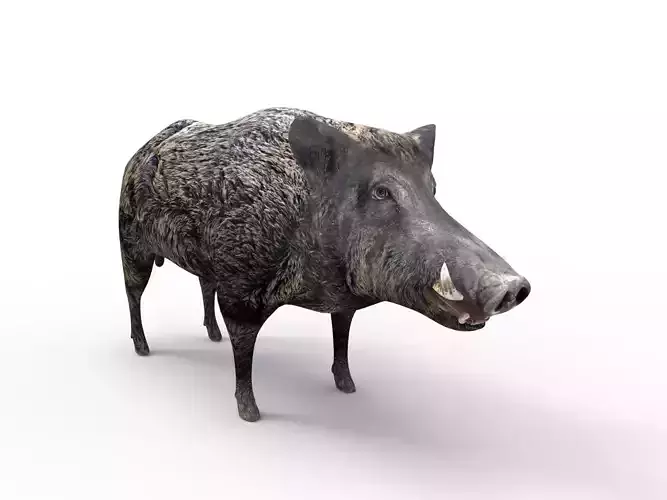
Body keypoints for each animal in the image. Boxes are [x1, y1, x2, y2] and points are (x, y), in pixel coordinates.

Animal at [118, 107, 531, 422]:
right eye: (381, 191)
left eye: (432, 189)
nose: (514, 285)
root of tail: (139, 152)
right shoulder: (241, 287)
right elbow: (244, 351)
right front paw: (250, 414)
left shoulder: (340, 302)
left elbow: (341, 337)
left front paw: (348, 388)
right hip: (129, 242)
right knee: (133, 294)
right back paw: (143, 349)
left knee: (203, 286)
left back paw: (211, 337)